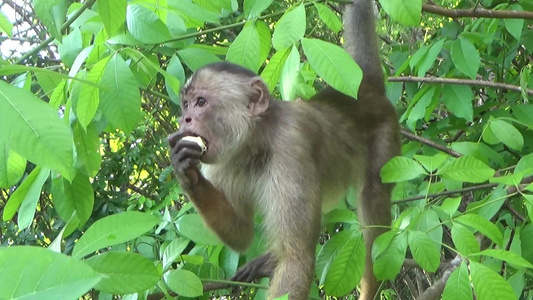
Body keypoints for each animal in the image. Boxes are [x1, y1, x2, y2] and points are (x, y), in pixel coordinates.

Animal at [168, 0, 396, 298]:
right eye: (185, 105)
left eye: (201, 103)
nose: (184, 119)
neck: (256, 143)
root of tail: (364, 89)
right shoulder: (221, 163)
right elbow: (241, 234)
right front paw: (186, 173)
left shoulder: (290, 148)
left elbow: (296, 258)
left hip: (385, 135)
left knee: (373, 211)